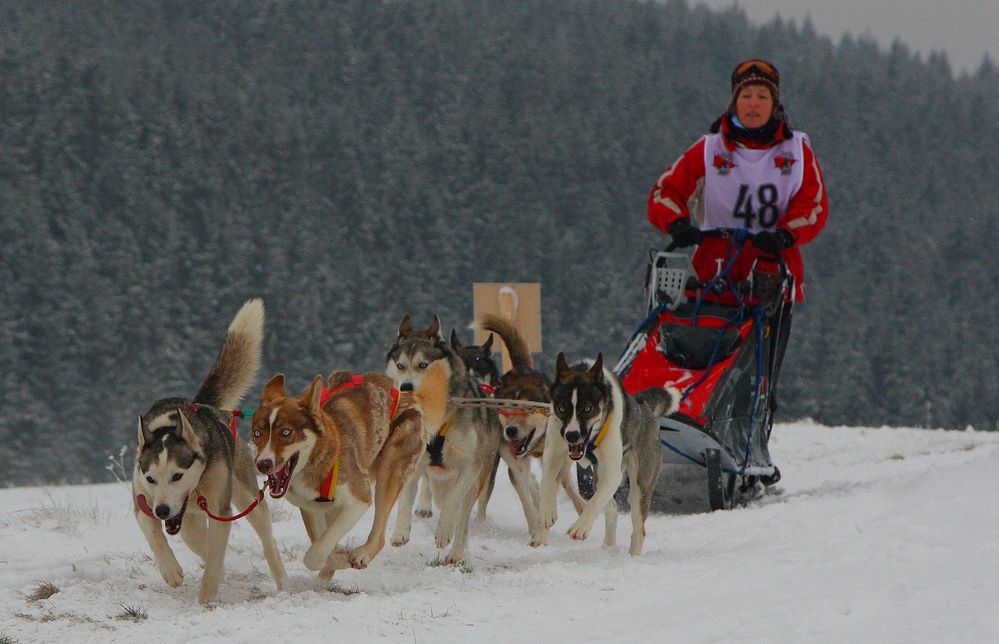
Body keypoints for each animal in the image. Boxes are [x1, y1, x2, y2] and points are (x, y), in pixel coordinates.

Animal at [133, 300, 286, 604]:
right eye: (152, 478)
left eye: (177, 475)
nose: (163, 510)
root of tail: (201, 404)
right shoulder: (141, 498)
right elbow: (153, 532)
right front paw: (170, 570)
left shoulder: (220, 508)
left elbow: (216, 553)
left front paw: (206, 594)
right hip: (191, 522)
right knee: (195, 537)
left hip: (247, 496)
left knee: (267, 540)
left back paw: (282, 579)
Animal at [250, 362, 450, 580]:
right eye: (257, 433)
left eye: (286, 432)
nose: (263, 463)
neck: (319, 459)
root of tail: (408, 396)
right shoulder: (311, 507)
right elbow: (321, 546)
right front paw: (334, 561)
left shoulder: (358, 500)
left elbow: (314, 556)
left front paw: (343, 559)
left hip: (389, 472)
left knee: (379, 536)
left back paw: (361, 555)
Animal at [384, 316, 504, 564]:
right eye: (400, 366)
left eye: (423, 365)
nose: (406, 386)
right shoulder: (411, 461)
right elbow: (404, 500)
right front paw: (400, 531)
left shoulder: (470, 466)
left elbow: (453, 502)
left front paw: (443, 531)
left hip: (477, 481)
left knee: (463, 517)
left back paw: (456, 552)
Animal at [474, 314, 584, 544]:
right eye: (506, 410)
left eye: (527, 409)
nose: (510, 431)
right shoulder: (515, 464)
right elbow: (525, 494)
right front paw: (536, 525)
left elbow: (552, 485)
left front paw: (546, 519)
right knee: (533, 485)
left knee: (565, 479)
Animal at [540, 354, 680, 556]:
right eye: (561, 408)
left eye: (587, 408)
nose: (571, 435)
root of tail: (642, 406)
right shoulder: (554, 452)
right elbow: (547, 482)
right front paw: (546, 512)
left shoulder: (612, 473)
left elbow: (594, 502)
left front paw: (580, 527)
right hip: (598, 476)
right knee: (612, 508)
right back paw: (608, 546)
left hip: (640, 485)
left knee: (638, 529)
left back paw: (632, 556)